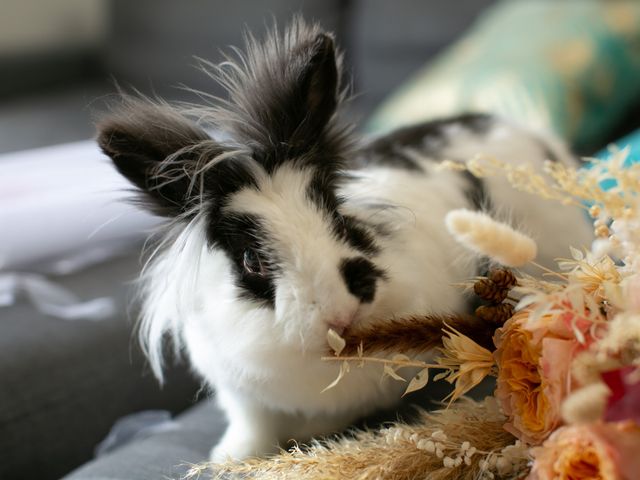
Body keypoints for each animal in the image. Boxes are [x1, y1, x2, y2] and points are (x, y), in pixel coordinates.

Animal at [97, 18, 592, 462]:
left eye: (337, 215)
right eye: (252, 260)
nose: (342, 311)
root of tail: (530, 133)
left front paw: (307, 438)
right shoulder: (239, 389)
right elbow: (251, 423)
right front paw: (230, 457)